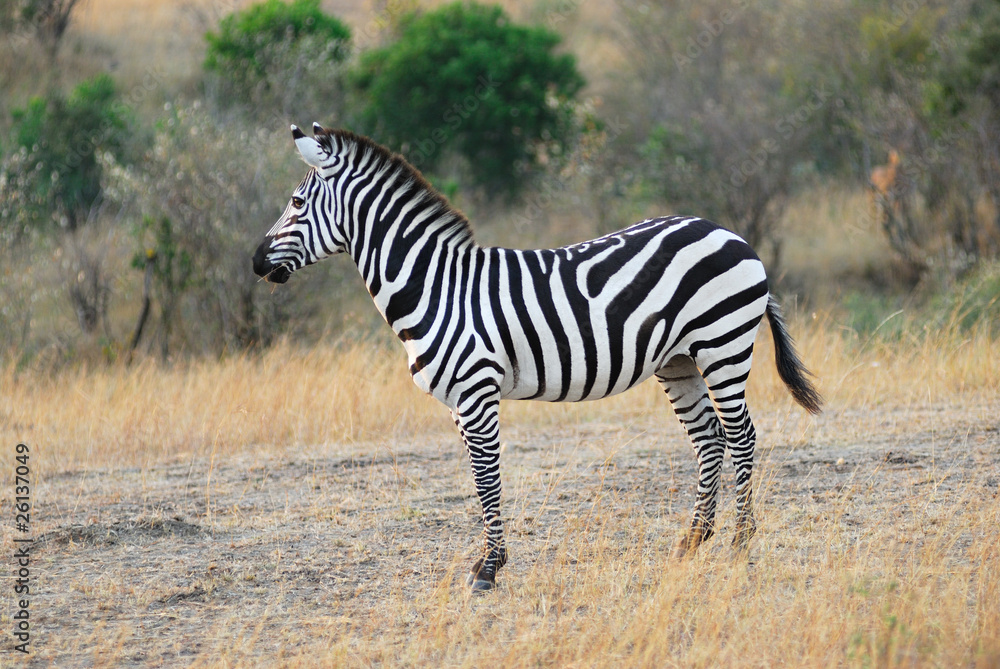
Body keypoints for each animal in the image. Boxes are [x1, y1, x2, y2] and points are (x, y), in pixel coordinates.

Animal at [252, 124, 822, 592]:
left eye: (297, 203)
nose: (255, 261)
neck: (436, 287)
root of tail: (730, 233)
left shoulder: (476, 393)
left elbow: (487, 480)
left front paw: (489, 569)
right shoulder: (460, 404)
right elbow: (478, 482)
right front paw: (488, 561)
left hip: (723, 343)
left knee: (741, 436)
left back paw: (739, 546)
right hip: (678, 360)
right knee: (709, 439)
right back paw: (691, 542)